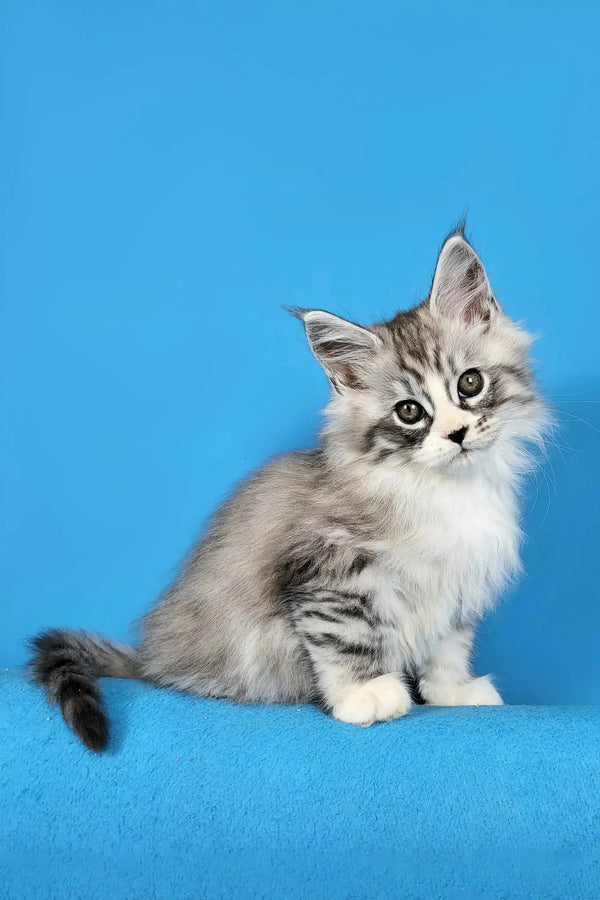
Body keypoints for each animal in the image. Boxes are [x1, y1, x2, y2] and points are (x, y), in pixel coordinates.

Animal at [28, 227, 548, 752]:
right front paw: (365, 694)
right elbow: (345, 635)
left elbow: (448, 645)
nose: (457, 434)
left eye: (470, 383)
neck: (443, 490)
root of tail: (152, 658)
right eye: (409, 412)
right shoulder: (328, 572)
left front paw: (453, 691)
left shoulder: (458, 581)